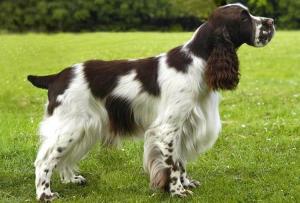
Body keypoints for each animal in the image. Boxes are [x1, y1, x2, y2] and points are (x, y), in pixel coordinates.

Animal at [27, 3, 274, 201]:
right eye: (244, 17)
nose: (271, 22)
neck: (198, 61)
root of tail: (56, 77)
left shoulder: (184, 126)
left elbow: (181, 161)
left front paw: (186, 183)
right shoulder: (167, 128)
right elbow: (173, 164)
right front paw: (177, 191)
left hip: (85, 128)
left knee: (63, 159)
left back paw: (72, 179)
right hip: (70, 127)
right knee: (44, 161)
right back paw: (45, 194)